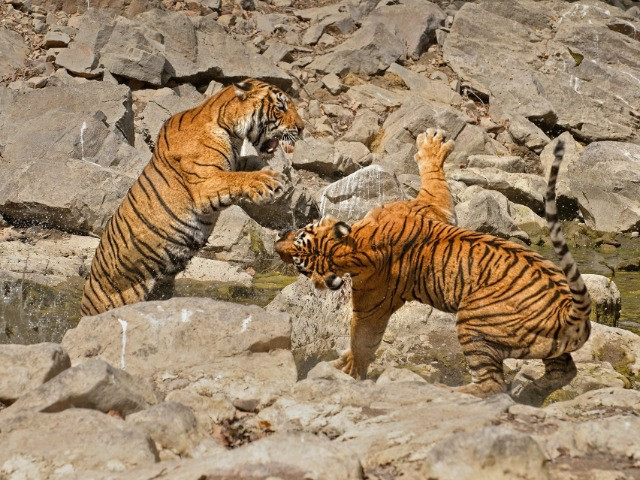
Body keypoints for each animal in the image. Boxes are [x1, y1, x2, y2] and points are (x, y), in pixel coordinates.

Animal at [81, 79, 304, 316]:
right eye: (281, 107)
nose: (302, 128)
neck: (229, 128)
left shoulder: (232, 163)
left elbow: (247, 163)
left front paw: (276, 175)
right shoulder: (205, 183)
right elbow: (235, 179)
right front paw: (266, 182)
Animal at [275, 129, 591, 397]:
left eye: (298, 254)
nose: (277, 243)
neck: (355, 245)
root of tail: (568, 310)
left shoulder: (371, 305)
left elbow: (362, 338)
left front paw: (351, 367)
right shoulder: (436, 209)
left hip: (473, 323)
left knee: (492, 385)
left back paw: (454, 391)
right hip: (548, 346)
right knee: (564, 372)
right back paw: (531, 389)